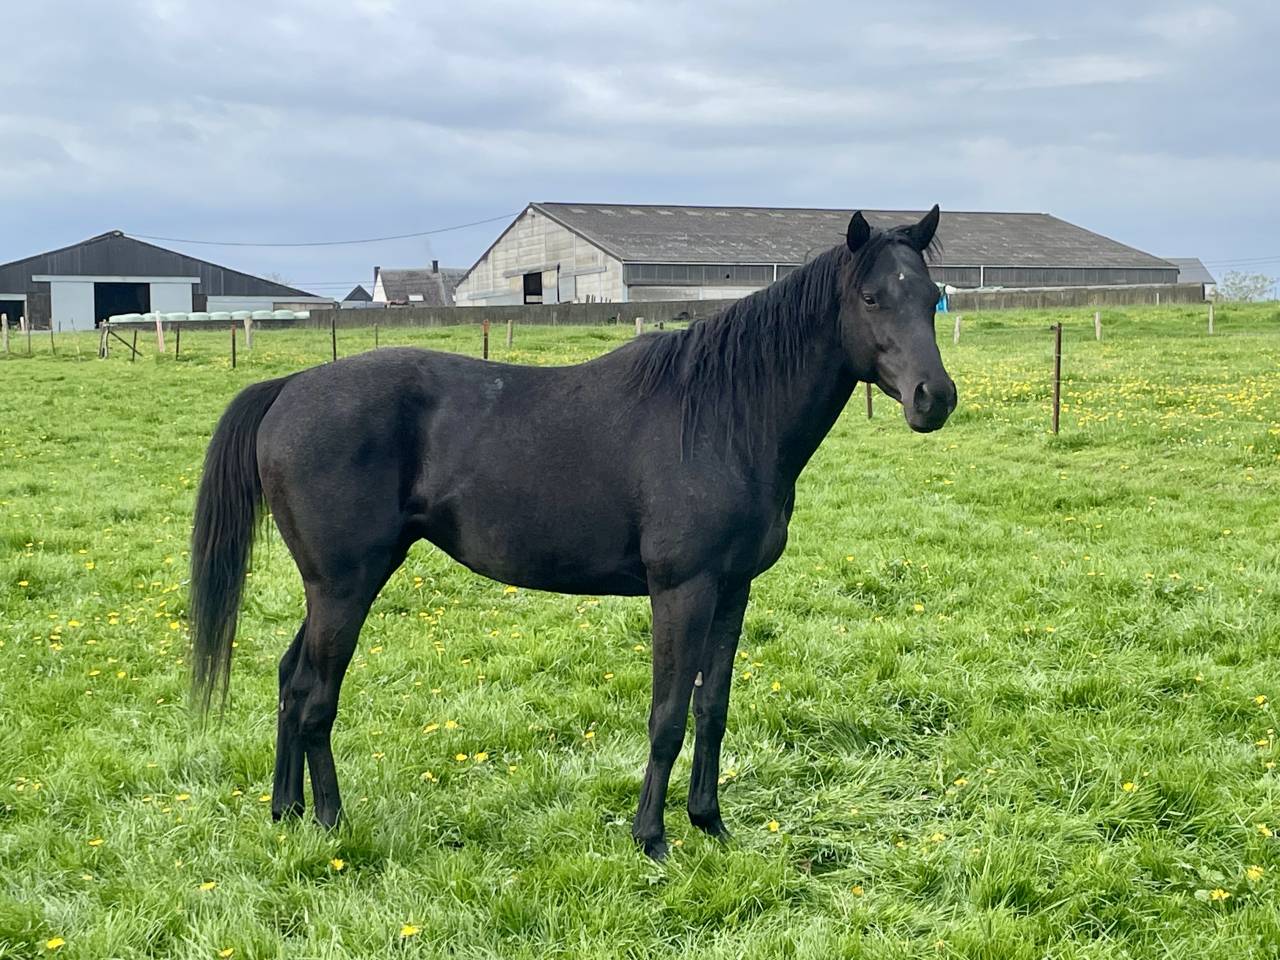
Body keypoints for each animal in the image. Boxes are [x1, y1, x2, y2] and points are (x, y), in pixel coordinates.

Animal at [189, 206, 957, 859]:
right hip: (344, 587)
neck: (722, 415)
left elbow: (711, 708)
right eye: (871, 299)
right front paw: (652, 838)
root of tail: (289, 389)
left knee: (290, 681)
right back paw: (331, 822)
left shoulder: (733, 590)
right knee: (316, 696)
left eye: (930, 298)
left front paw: (710, 824)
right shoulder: (682, 590)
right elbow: (667, 715)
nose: (935, 398)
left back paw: (285, 812)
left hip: (335, 586)